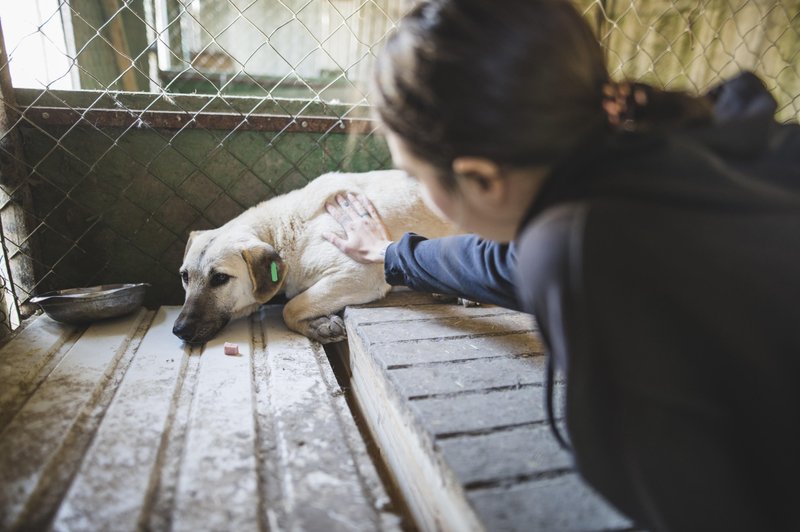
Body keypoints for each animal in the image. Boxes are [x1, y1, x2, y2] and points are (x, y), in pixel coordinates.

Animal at [171, 170, 454, 344]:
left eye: (220, 278)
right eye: (185, 277)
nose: (178, 330)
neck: (285, 230)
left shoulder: (359, 273)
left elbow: (289, 308)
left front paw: (317, 325)